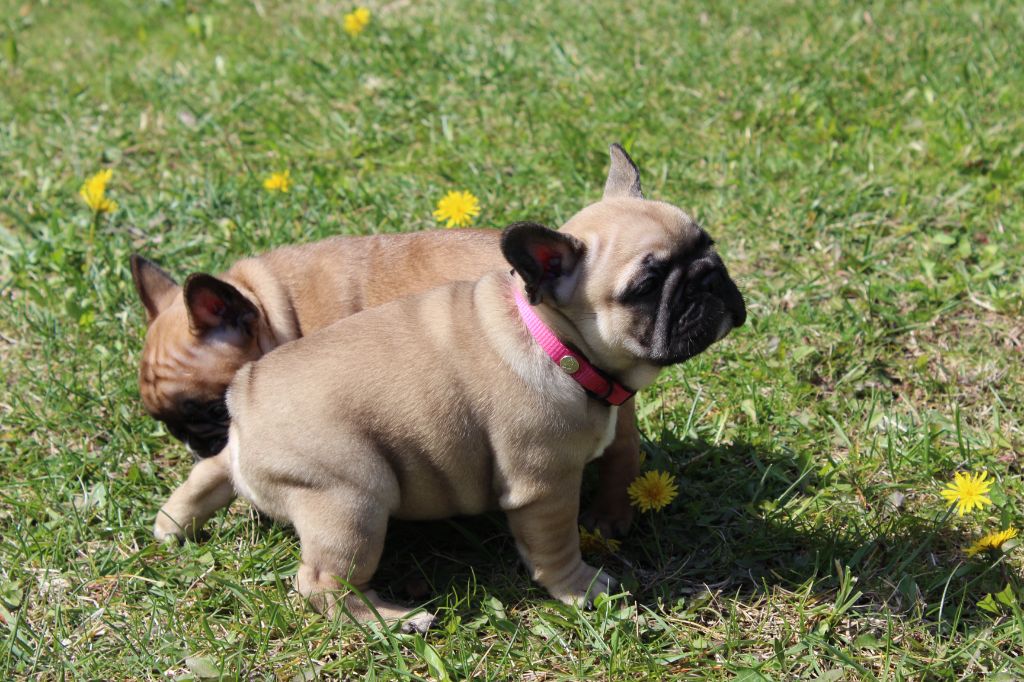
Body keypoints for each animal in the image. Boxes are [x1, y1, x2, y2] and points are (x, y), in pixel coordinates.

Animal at [153, 144, 745, 630]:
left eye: (710, 244)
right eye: (645, 286)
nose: (709, 277)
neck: (555, 341)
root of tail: (242, 402)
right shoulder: (545, 486)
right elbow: (556, 547)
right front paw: (581, 589)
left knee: (209, 470)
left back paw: (170, 524)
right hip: (351, 501)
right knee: (321, 584)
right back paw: (393, 619)